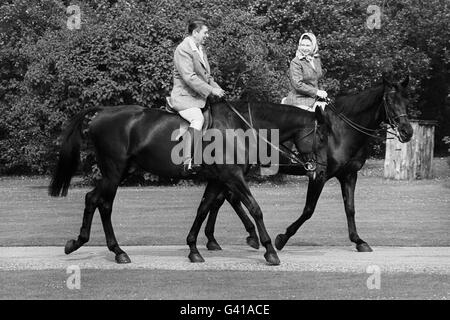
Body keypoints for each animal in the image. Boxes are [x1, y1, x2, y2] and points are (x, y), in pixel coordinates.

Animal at [48, 100, 330, 264]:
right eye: (323, 137)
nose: (323, 170)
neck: (239, 128)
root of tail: (103, 112)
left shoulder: (218, 180)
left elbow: (203, 209)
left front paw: (194, 248)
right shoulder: (232, 177)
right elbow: (254, 208)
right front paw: (269, 249)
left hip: (118, 172)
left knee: (95, 200)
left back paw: (88, 244)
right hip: (114, 172)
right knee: (102, 203)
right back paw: (112, 250)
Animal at [200, 74, 414, 252]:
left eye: (407, 100)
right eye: (389, 100)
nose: (407, 131)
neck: (341, 131)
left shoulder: (349, 175)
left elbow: (350, 208)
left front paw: (358, 240)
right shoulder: (319, 176)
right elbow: (309, 210)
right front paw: (282, 238)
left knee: (223, 199)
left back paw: (217, 239)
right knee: (228, 198)